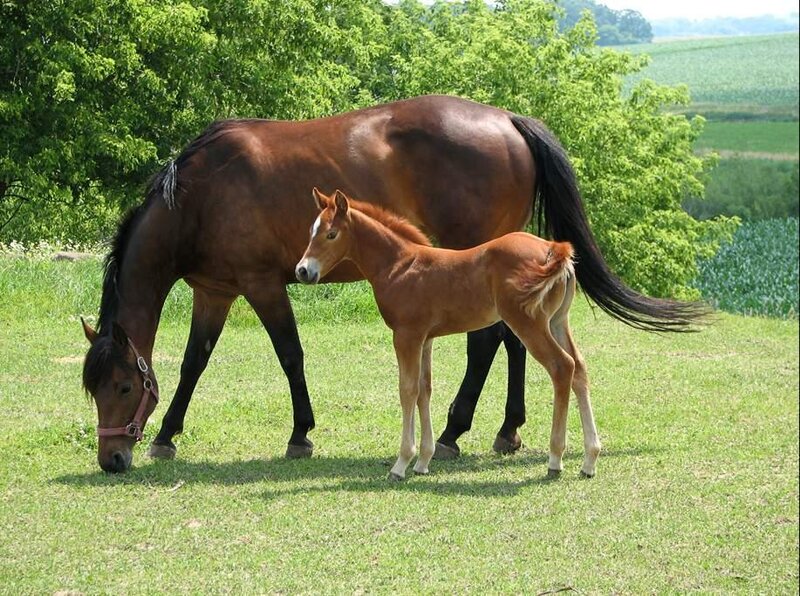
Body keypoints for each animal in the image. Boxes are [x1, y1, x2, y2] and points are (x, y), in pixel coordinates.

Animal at [296, 189, 600, 479]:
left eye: (331, 234)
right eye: (311, 231)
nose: (303, 271)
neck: (399, 265)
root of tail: (552, 248)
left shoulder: (406, 335)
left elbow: (407, 390)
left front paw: (401, 464)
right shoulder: (425, 338)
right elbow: (424, 389)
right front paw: (422, 462)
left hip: (529, 323)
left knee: (562, 367)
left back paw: (555, 459)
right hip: (557, 322)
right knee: (580, 368)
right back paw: (589, 460)